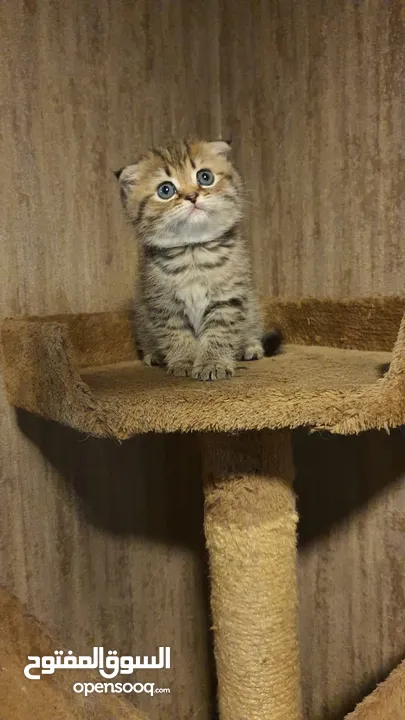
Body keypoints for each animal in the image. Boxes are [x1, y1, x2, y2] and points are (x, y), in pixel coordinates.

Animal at [113, 137, 278, 380]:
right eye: (165, 190)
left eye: (205, 177)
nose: (192, 196)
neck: (194, 254)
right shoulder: (164, 305)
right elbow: (177, 335)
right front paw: (185, 361)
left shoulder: (228, 300)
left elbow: (219, 334)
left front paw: (213, 363)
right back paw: (155, 354)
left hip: (252, 308)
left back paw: (250, 346)